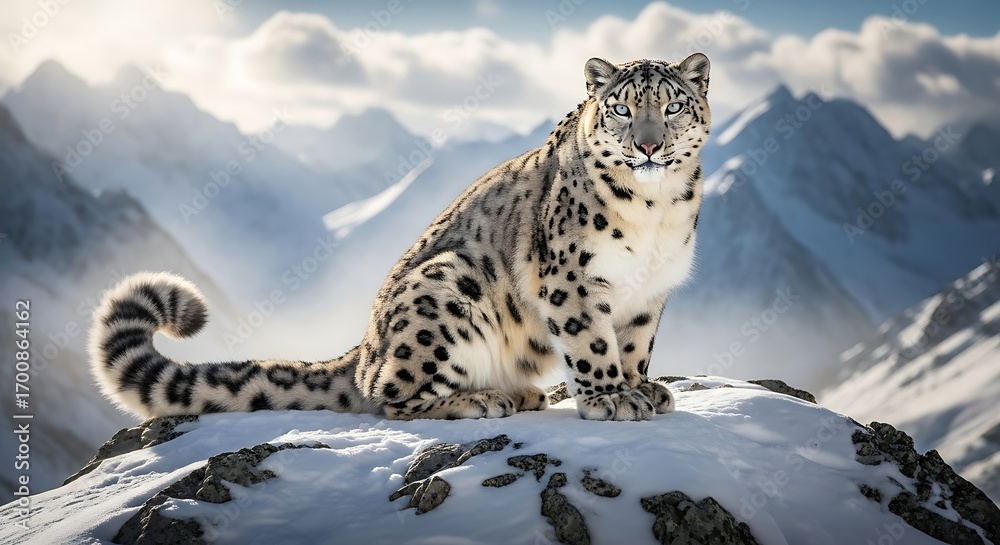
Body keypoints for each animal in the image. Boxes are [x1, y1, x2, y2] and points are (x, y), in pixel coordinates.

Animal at [89, 54, 711, 422]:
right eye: (622, 109)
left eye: (674, 105)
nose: (649, 144)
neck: (655, 212)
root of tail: (363, 347)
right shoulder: (572, 280)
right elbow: (592, 344)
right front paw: (611, 399)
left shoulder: (650, 291)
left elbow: (633, 344)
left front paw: (643, 388)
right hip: (446, 288)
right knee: (392, 398)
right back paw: (485, 399)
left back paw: (522, 392)